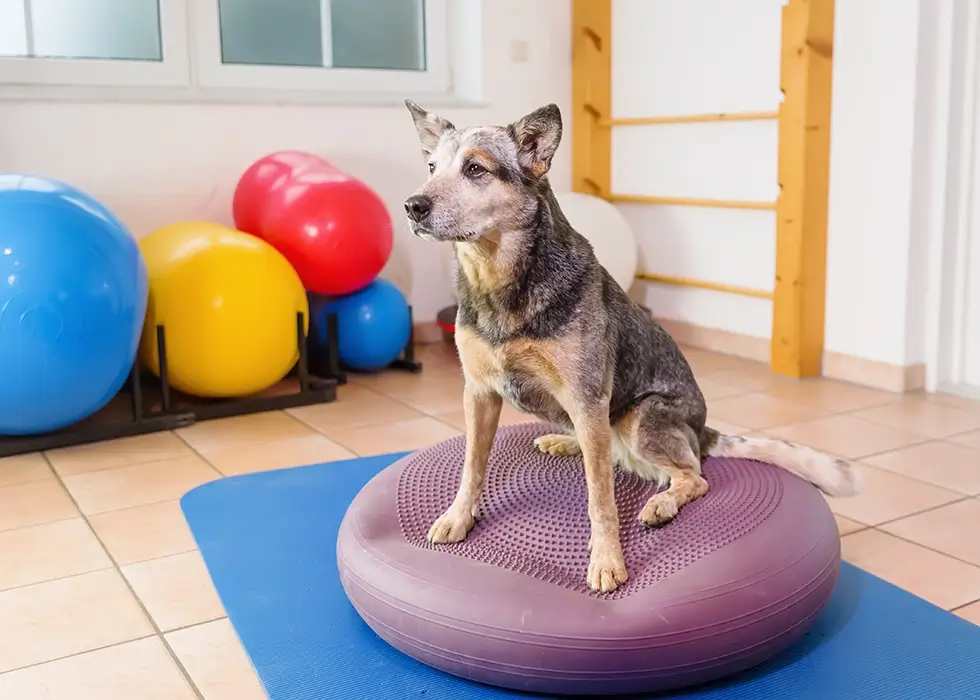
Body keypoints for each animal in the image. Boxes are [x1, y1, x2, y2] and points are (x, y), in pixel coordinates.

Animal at [402, 97, 852, 592]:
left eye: (475, 169)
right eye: (430, 166)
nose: (412, 206)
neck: (499, 285)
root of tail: (703, 430)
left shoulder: (586, 396)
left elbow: (601, 500)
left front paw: (607, 559)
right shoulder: (479, 394)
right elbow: (471, 468)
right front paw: (458, 517)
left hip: (641, 417)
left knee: (692, 475)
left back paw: (661, 502)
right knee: (613, 452)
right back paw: (566, 443)